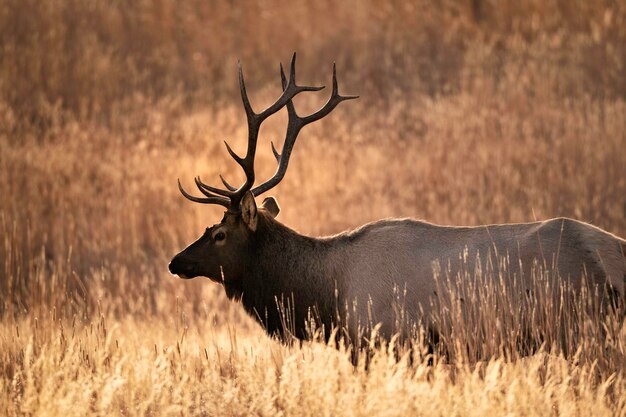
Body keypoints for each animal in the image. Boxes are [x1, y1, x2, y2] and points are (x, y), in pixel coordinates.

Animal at [167, 52, 624, 352]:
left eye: (219, 233)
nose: (175, 261)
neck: (327, 297)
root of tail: (613, 259)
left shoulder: (387, 340)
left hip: (576, 327)